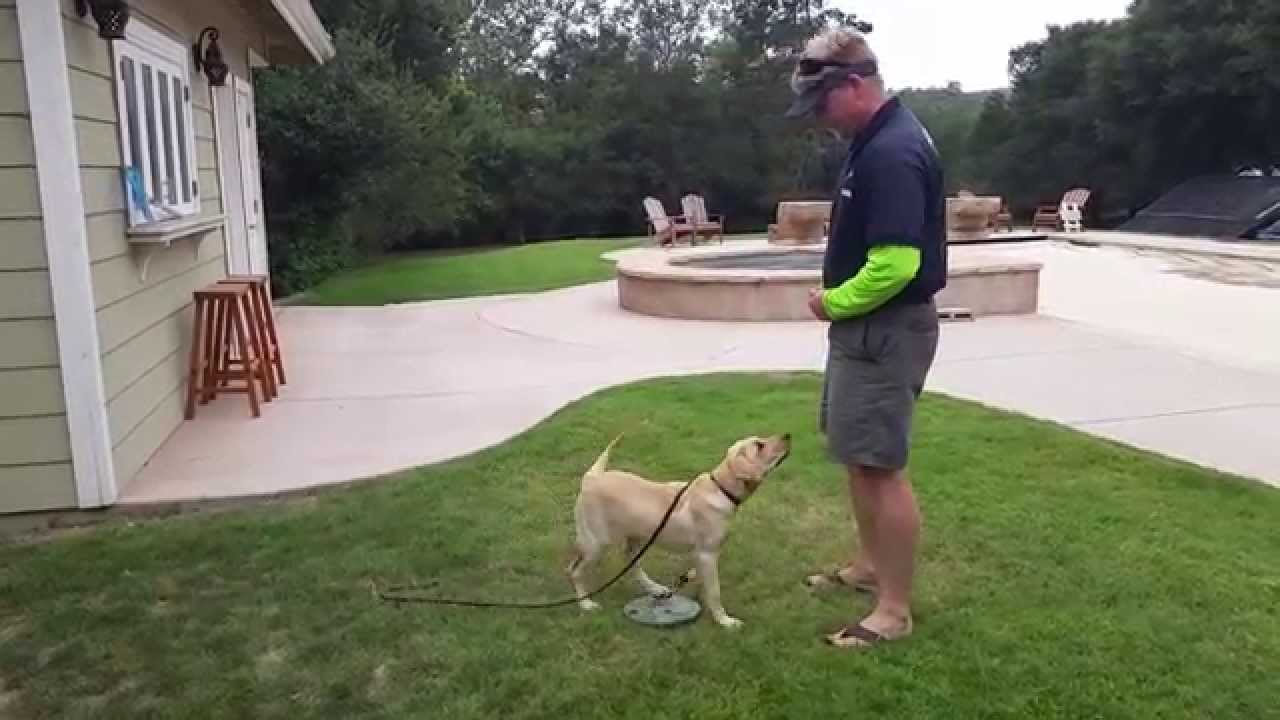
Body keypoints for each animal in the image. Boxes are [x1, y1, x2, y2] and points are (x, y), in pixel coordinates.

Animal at [563, 430, 783, 627]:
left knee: (630, 564)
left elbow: (703, 582)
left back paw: (655, 589)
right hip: (596, 542)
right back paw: (586, 604)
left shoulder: (701, 556)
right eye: (759, 446)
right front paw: (724, 621)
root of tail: (591, 478)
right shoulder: (707, 554)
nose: (787, 436)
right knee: (574, 570)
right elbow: (715, 591)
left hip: (637, 537)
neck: (721, 489)